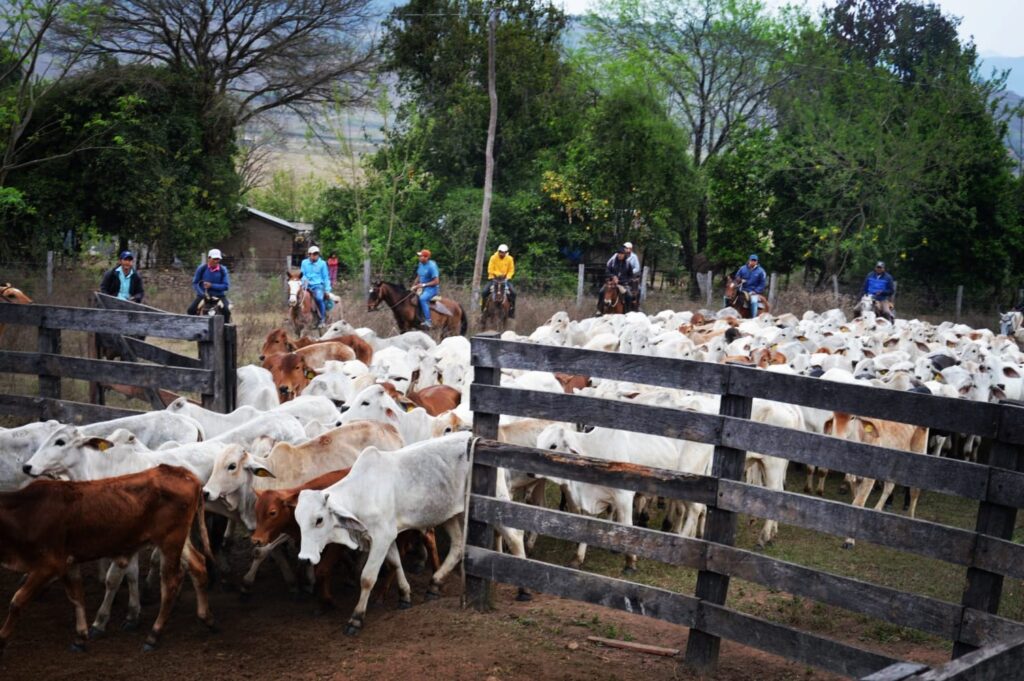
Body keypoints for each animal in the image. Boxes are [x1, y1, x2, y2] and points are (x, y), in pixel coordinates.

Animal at [0, 464, 216, 651]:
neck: (26, 511)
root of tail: (186, 474)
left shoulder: (48, 565)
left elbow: (17, 601)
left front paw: (2, 637)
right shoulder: (69, 562)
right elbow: (77, 596)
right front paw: (81, 636)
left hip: (170, 541)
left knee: (170, 584)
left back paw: (153, 635)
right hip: (178, 540)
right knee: (198, 566)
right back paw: (206, 618)